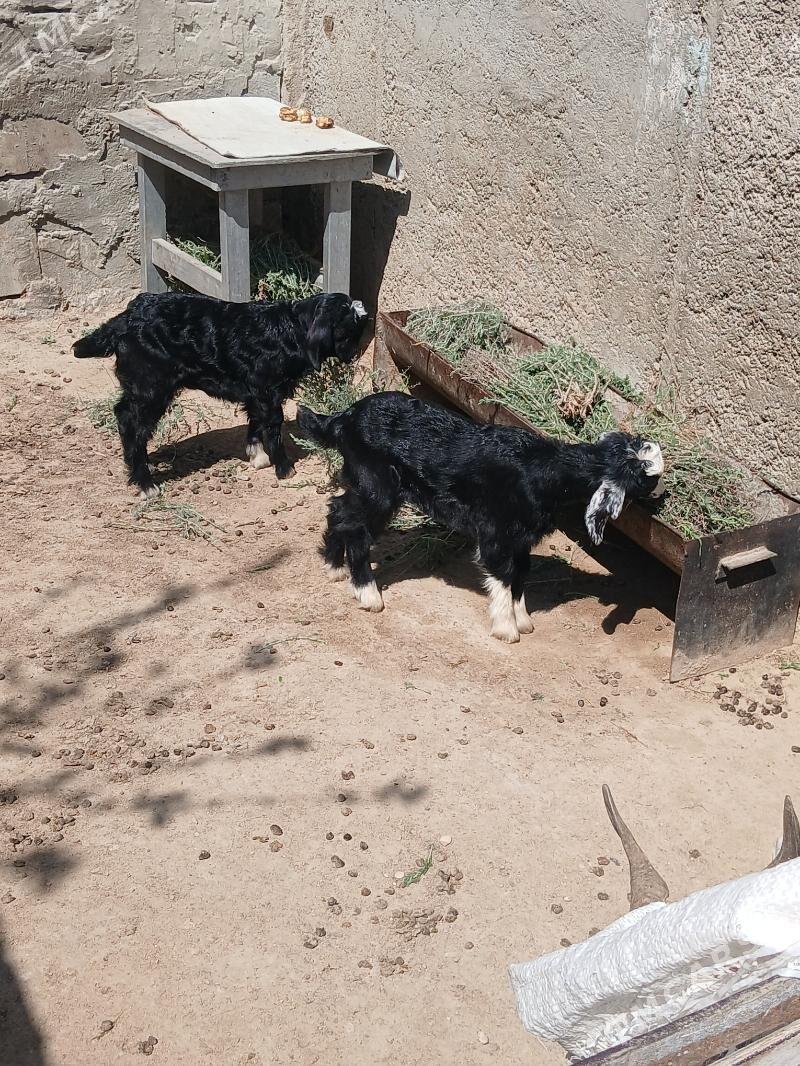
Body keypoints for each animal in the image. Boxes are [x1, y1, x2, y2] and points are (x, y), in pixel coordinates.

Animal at [73, 290, 369, 497]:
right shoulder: (268, 390)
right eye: (348, 333)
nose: (355, 356)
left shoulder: (255, 391)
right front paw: (284, 468)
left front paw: (256, 455)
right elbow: (272, 425)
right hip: (151, 384)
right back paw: (145, 482)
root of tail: (128, 317)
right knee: (131, 422)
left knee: (123, 412)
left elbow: (255, 420)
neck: (290, 329)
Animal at [297, 391, 664, 642]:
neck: (544, 469)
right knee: (357, 528)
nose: (662, 493)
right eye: (646, 477)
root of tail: (343, 418)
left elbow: (521, 574)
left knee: (339, 510)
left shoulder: (522, 539)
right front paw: (507, 629)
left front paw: (523, 619)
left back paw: (334, 567)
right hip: (378, 487)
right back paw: (368, 594)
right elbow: (503, 574)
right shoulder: (497, 533)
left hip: (362, 482)